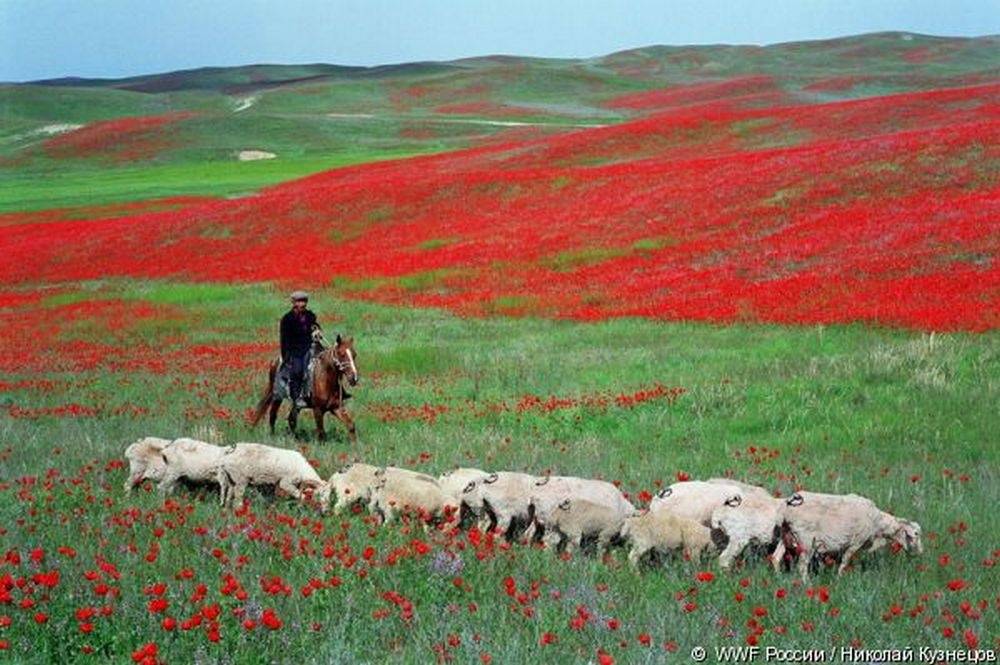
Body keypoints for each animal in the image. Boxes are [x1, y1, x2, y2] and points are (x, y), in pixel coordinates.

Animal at [772, 490, 920, 580]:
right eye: (916, 534)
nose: (919, 553)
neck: (877, 523)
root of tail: (789, 503)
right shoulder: (856, 542)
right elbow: (844, 561)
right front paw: (839, 578)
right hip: (805, 541)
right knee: (802, 566)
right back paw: (807, 584)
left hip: (786, 534)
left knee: (775, 558)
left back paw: (778, 577)